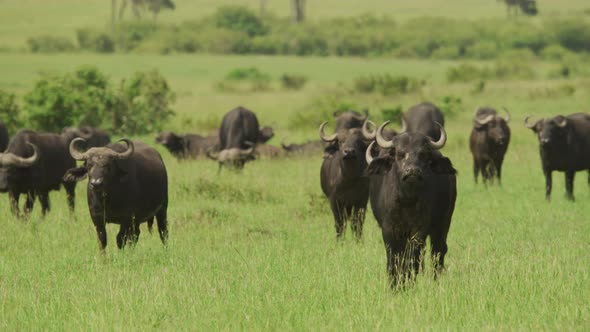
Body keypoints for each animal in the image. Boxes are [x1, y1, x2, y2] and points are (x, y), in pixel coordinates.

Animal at [368, 122, 460, 286]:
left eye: (422, 154)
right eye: (399, 154)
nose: (412, 171)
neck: (407, 200)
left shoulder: (419, 231)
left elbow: (412, 259)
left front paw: (409, 282)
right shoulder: (389, 230)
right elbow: (394, 259)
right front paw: (395, 284)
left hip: (444, 222)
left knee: (438, 251)